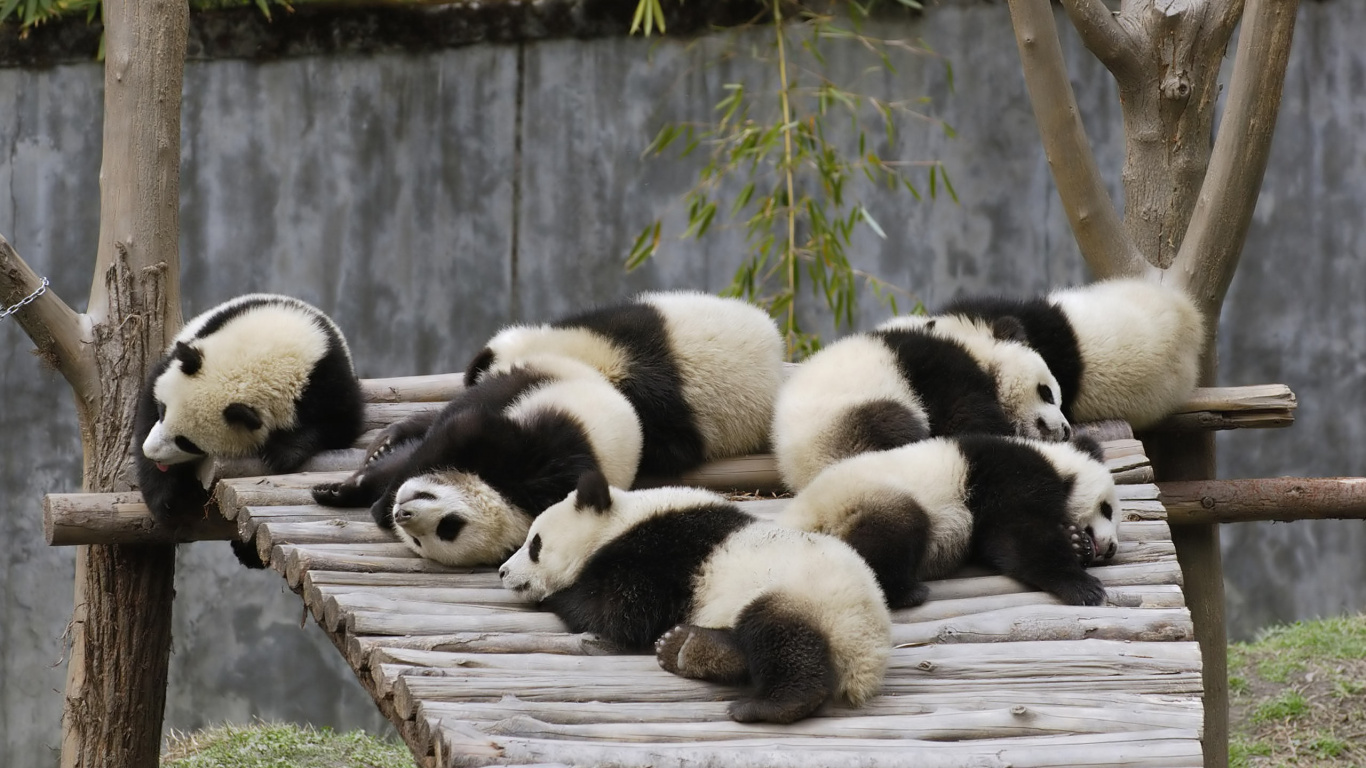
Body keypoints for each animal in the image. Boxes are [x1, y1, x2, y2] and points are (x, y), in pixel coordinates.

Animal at [134, 294, 363, 547]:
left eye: (186, 442)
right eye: (162, 411)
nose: (150, 451)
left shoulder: (326, 378)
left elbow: (341, 424)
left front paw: (280, 453)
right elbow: (147, 405)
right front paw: (165, 499)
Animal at [313, 355, 643, 567]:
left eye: (443, 531)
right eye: (451, 523)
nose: (402, 515)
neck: (512, 499)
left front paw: (369, 501)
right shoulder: (536, 458)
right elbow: (460, 430)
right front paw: (367, 496)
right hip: (536, 381)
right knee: (466, 404)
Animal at [499, 470, 890, 725]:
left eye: (535, 544)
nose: (502, 572)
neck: (619, 521)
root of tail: (868, 653)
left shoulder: (659, 554)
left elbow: (620, 612)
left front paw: (559, 595)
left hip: (805, 595)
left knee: (782, 636)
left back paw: (767, 705)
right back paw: (688, 649)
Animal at [771, 322, 1070, 491]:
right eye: (1047, 393)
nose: (1066, 430)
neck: (979, 352)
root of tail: (799, 471)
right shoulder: (941, 371)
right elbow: (966, 418)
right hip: (847, 417)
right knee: (893, 428)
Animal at [779, 434, 1120, 609]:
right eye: (1106, 509)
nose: (1112, 548)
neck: (1056, 463)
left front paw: (1076, 543)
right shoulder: (1009, 475)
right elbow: (1018, 535)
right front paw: (1083, 586)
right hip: (861, 501)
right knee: (892, 533)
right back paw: (906, 592)